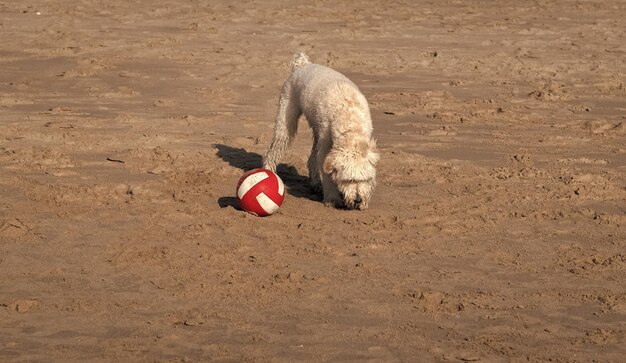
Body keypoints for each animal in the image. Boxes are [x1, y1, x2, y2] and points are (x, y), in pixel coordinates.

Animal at [262, 52, 378, 209]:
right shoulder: (325, 148)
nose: (358, 200)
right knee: (275, 148)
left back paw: (316, 183)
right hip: (286, 120)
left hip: (316, 130)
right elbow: (327, 173)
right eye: (348, 180)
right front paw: (332, 198)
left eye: (365, 179)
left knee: (312, 158)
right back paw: (268, 171)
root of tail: (303, 64)